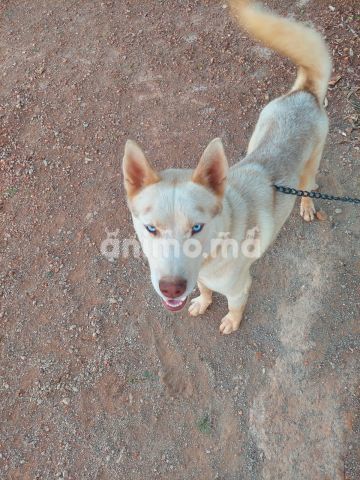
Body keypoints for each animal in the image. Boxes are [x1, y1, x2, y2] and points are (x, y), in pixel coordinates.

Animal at [121, 0, 332, 334]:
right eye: (151, 228)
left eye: (196, 227)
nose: (171, 288)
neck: (213, 251)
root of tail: (305, 94)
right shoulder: (201, 278)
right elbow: (205, 289)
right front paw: (202, 302)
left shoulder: (239, 287)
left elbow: (234, 306)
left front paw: (231, 321)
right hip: (257, 131)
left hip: (312, 164)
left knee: (309, 186)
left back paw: (308, 206)